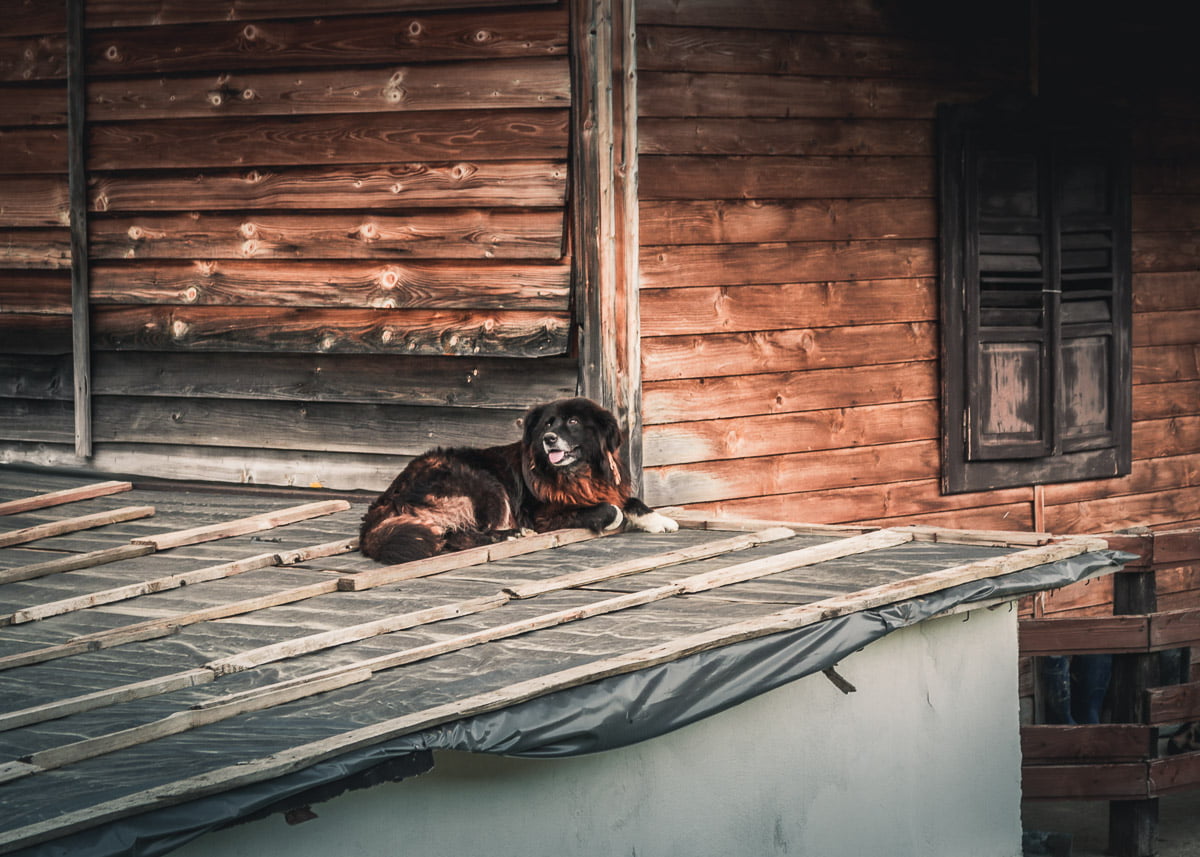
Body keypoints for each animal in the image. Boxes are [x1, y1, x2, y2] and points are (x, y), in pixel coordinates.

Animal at [357, 396, 676, 564]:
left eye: (573, 422)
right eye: (548, 424)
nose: (549, 439)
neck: (578, 474)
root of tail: (387, 497)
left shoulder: (610, 488)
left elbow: (631, 501)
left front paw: (658, 520)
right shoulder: (545, 515)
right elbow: (611, 509)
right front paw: (612, 518)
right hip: (486, 484)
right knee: (459, 536)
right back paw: (511, 534)